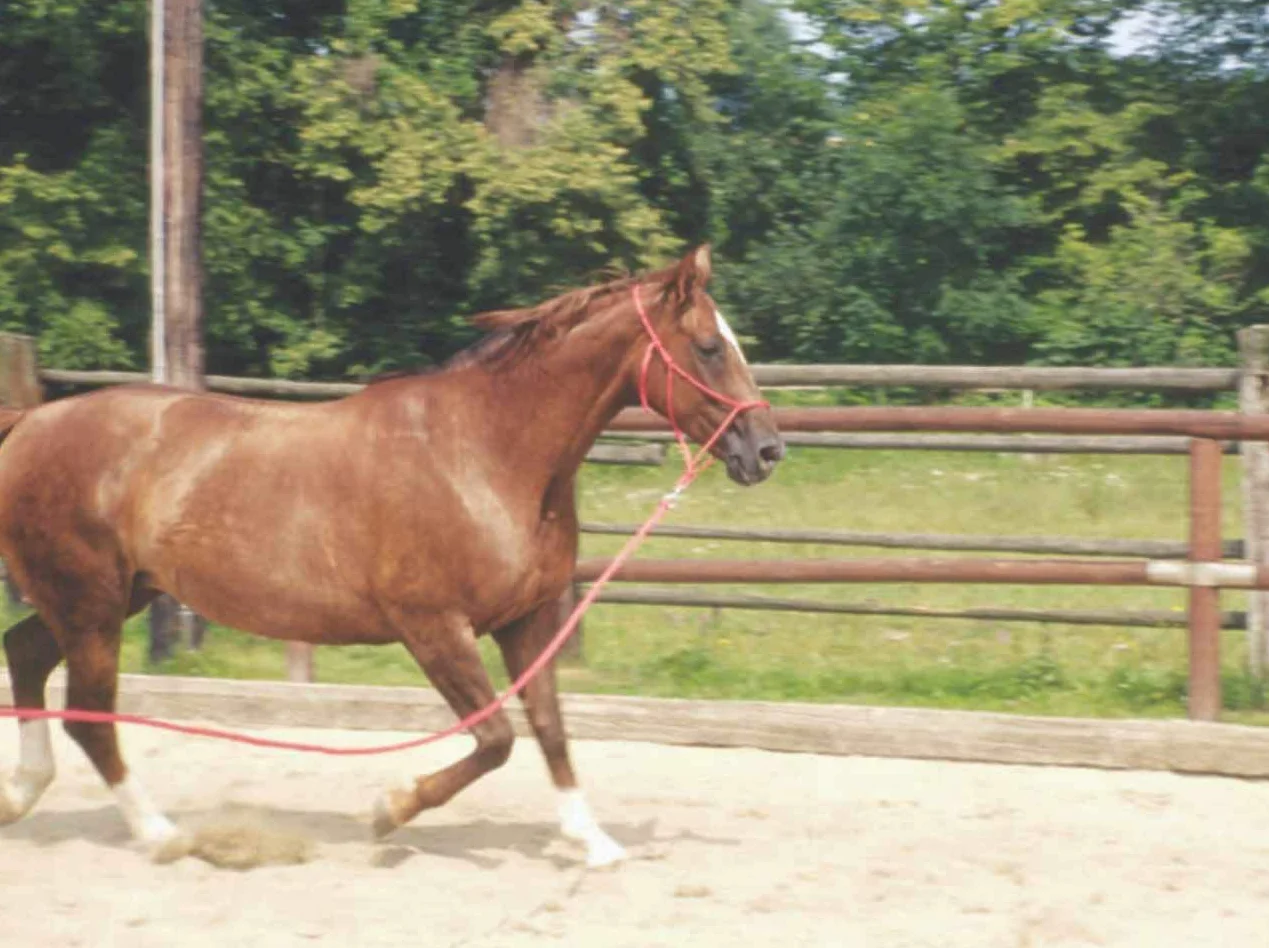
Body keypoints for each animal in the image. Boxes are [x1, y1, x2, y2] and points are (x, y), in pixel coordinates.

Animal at [0, 244, 783, 867]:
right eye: (709, 347)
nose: (767, 449)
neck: (486, 450)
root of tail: (30, 421)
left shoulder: (527, 620)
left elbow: (550, 729)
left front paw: (591, 841)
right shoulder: (432, 625)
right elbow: (495, 737)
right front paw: (390, 809)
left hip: (111, 596)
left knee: (28, 655)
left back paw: (22, 796)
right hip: (91, 603)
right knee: (88, 713)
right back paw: (161, 834)